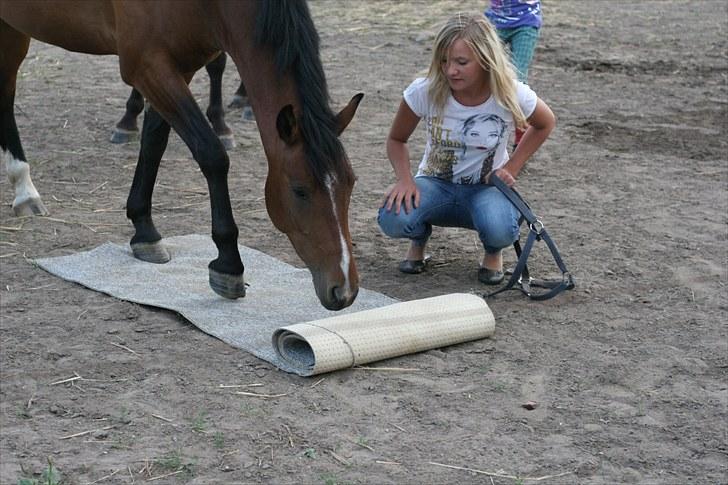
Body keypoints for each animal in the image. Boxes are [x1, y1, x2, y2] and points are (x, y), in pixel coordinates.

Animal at [0, 0, 364, 310]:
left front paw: (144, 229)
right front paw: (229, 264)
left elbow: (154, 142)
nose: (343, 290)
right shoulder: (147, 64)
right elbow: (212, 154)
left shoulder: (177, 66)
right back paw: (24, 189)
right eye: (299, 190)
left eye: (350, 184)